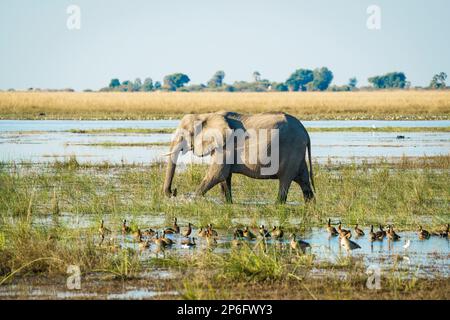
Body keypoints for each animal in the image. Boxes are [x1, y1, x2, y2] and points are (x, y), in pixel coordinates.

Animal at [163, 111, 314, 204]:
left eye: (185, 134)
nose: (173, 192)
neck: (205, 115)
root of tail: (306, 132)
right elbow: (224, 178)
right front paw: (228, 204)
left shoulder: (226, 145)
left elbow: (217, 174)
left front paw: (189, 201)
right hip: (298, 154)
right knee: (304, 180)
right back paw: (310, 205)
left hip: (292, 149)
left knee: (285, 181)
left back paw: (277, 205)